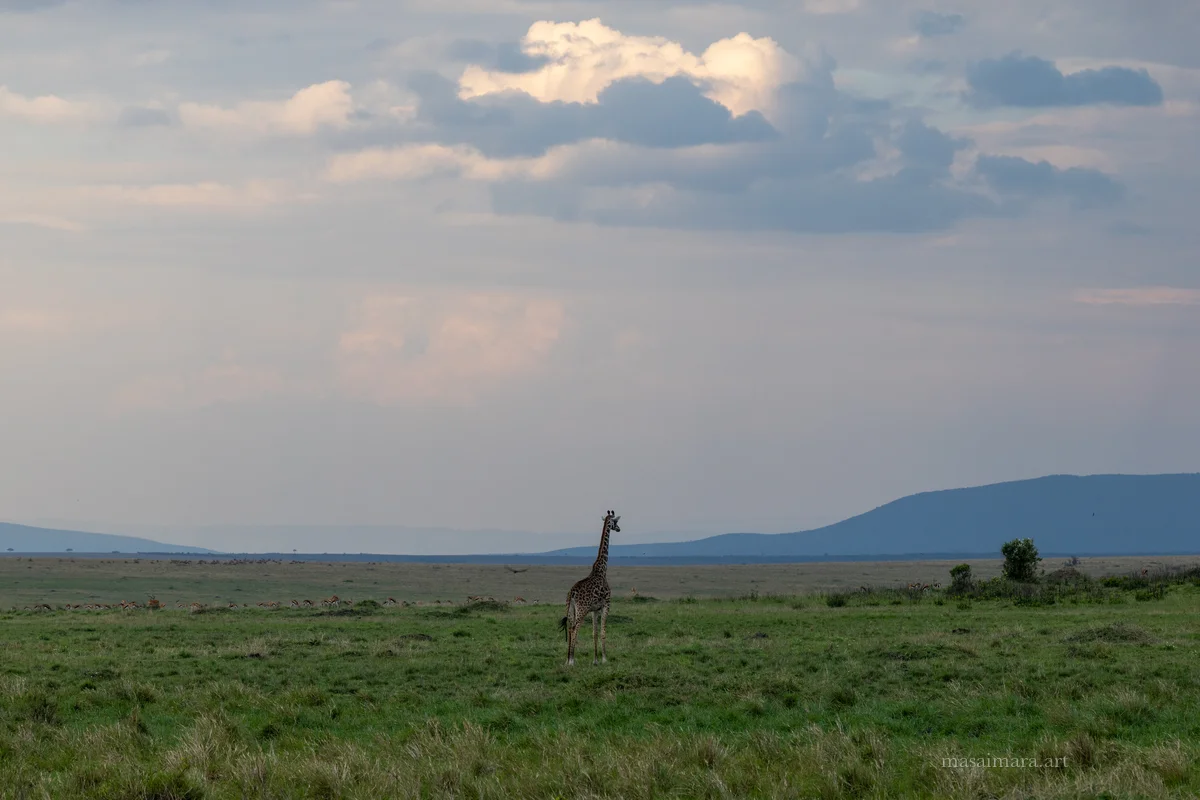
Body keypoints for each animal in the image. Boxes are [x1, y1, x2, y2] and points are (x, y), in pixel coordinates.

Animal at [559, 510, 620, 666]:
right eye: (616, 522)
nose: (619, 529)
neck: (602, 570)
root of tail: (572, 593)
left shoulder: (595, 609)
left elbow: (594, 633)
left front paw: (596, 660)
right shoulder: (606, 605)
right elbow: (603, 632)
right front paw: (605, 658)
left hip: (571, 609)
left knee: (570, 628)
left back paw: (567, 659)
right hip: (582, 610)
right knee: (575, 629)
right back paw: (572, 660)